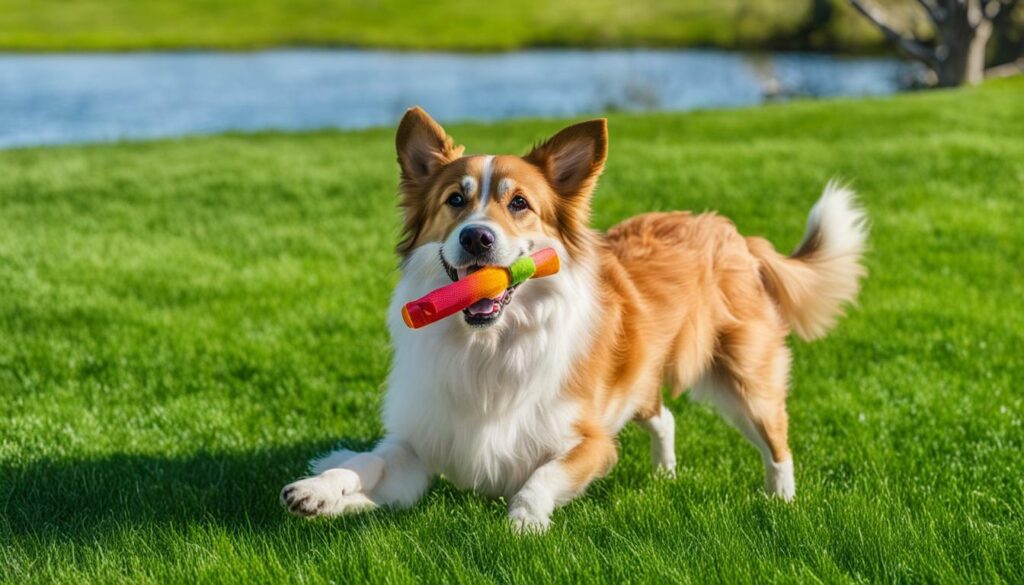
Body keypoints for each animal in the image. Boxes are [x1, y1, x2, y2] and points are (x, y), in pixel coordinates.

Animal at [280, 107, 864, 532]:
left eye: (519, 204)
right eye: (455, 200)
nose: (477, 238)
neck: (489, 343)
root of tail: (732, 231)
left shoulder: (590, 442)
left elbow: (542, 475)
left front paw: (522, 522)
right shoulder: (423, 441)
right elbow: (369, 464)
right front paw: (321, 491)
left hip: (745, 375)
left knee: (777, 441)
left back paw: (780, 504)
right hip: (641, 377)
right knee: (664, 417)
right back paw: (664, 475)